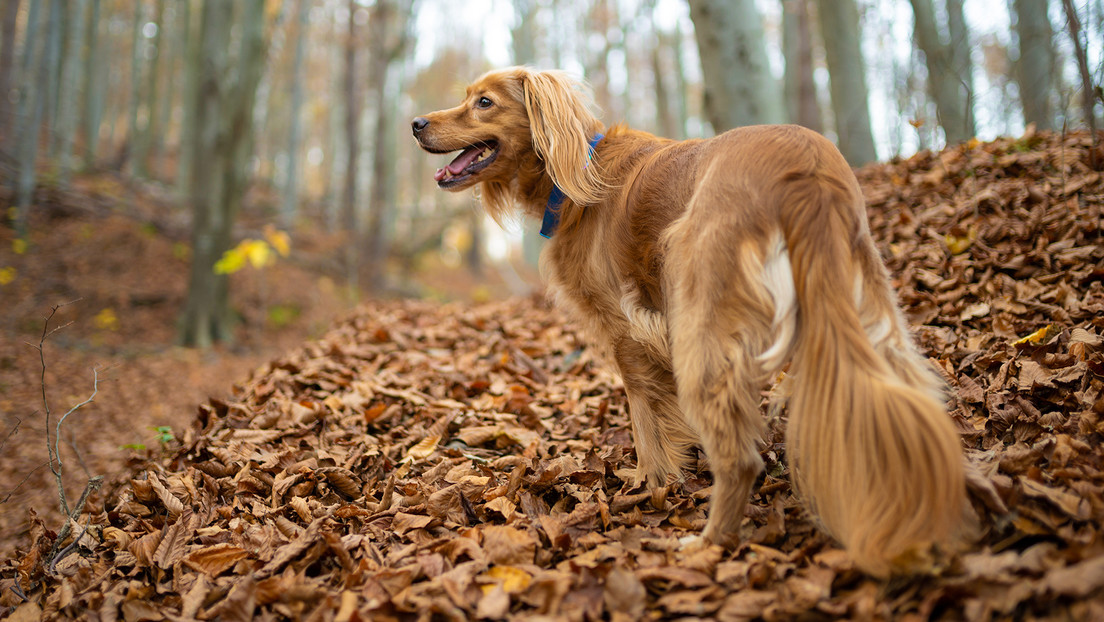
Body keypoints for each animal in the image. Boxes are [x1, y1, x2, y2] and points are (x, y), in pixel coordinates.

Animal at [412, 66, 967, 574]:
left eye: (483, 102)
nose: (416, 123)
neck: (580, 175)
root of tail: (804, 165)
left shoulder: (627, 331)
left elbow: (644, 421)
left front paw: (651, 486)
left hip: (699, 314)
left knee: (741, 458)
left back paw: (707, 542)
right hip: (868, 303)